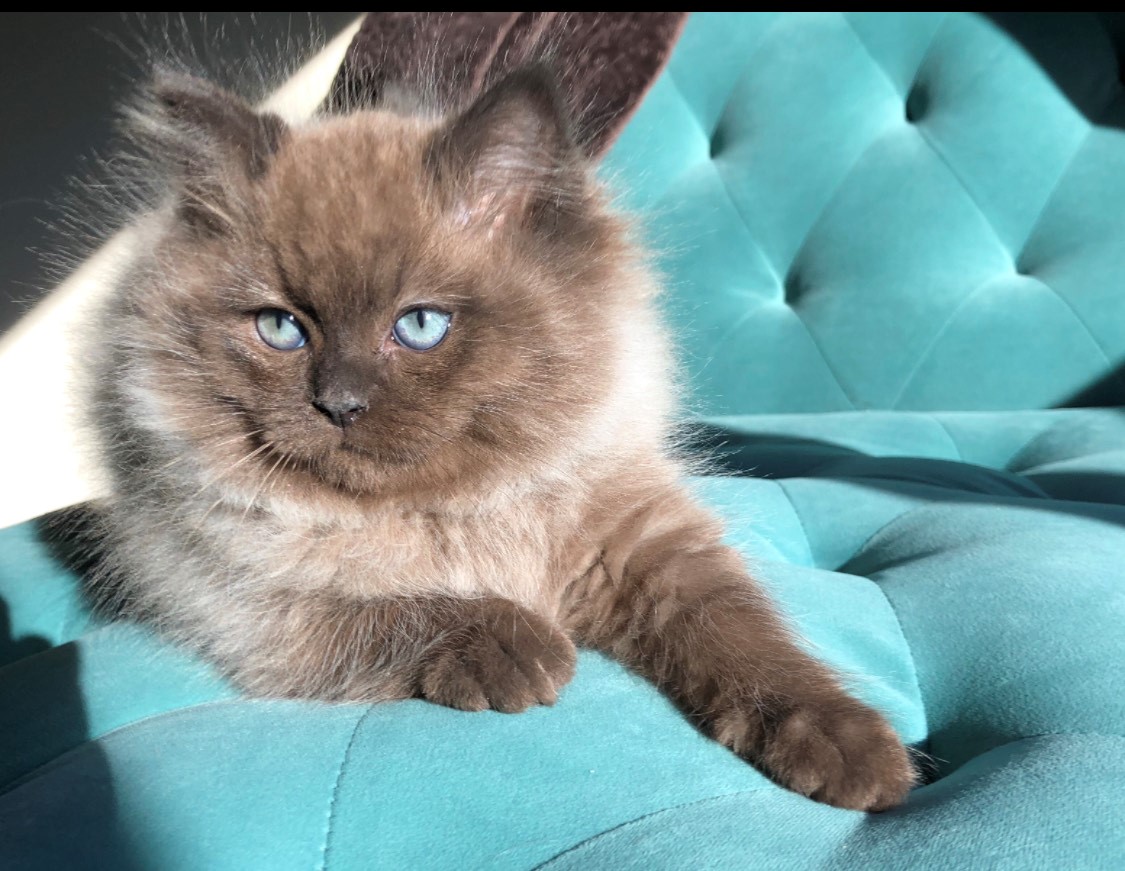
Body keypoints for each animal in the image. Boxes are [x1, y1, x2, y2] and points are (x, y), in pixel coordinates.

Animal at [87, 66, 913, 810]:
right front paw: (522, 648)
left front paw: (851, 750)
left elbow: (747, 639)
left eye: (420, 325)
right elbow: (403, 607)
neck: (463, 507)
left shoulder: (646, 550)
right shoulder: (242, 597)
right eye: (281, 328)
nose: (339, 404)